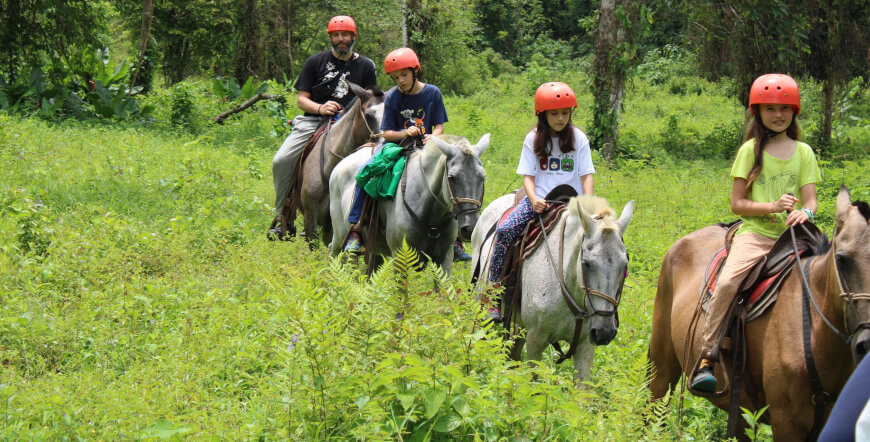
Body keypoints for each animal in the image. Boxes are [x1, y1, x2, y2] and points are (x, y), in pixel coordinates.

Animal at [328, 133, 490, 274]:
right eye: (451, 177)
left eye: (482, 176)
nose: (469, 227)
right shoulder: (400, 258)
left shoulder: (444, 258)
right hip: (340, 236)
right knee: (335, 254)